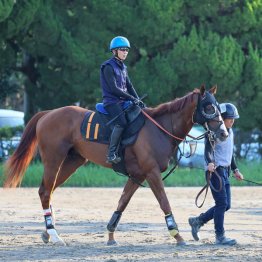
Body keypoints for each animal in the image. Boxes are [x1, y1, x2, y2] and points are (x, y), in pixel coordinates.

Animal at [2, 85, 227, 246]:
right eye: (209, 107)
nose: (224, 133)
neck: (159, 129)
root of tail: (48, 113)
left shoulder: (137, 176)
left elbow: (122, 203)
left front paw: (110, 234)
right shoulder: (151, 173)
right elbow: (164, 202)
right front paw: (176, 234)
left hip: (72, 162)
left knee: (47, 192)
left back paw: (48, 231)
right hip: (54, 160)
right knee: (45, 191)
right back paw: (54, 233)